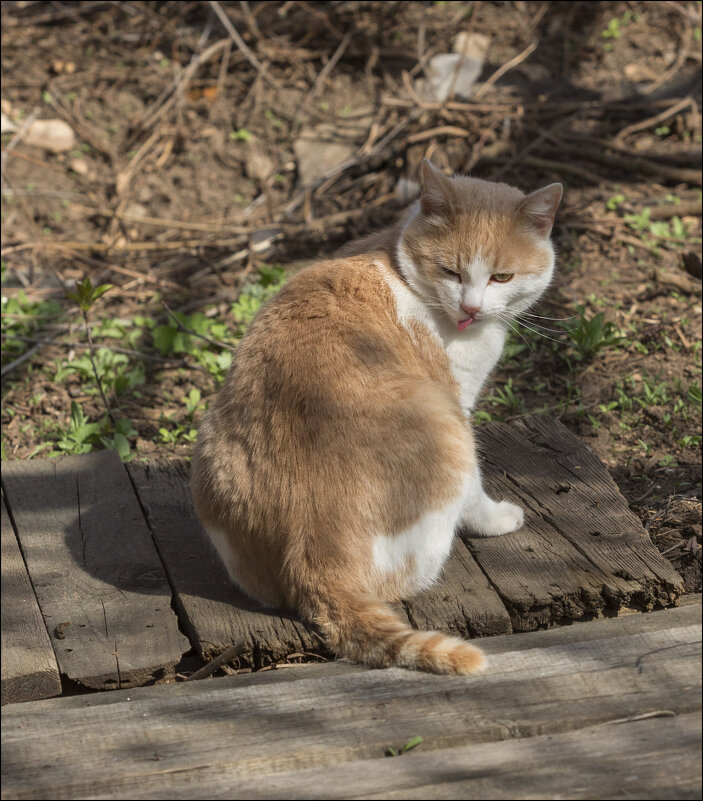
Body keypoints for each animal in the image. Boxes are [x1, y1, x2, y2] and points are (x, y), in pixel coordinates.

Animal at [191, 162, 560, 676]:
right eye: (450, 271)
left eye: (502, 277)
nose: (469, 308)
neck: (397, 265)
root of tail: (314, 558)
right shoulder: (458, 405)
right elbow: (477, 492)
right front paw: (497, 519)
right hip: (445, 430)